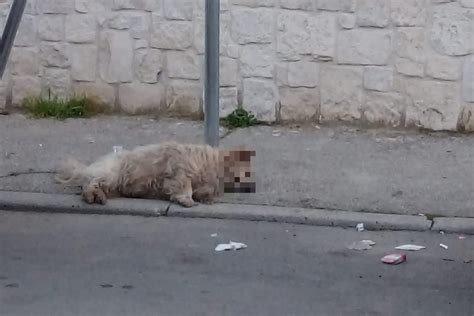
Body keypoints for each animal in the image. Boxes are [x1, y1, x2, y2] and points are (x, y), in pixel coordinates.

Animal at [54, 141, 256, 206]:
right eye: (245, 174)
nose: (251, 188)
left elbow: (202, 191)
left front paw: (205, 197)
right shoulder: (180, 170)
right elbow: (185, 186)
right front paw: (187, 199)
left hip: (113, 185)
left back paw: (100, 196)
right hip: (111, 175)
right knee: (90, 184)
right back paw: (92, 195)